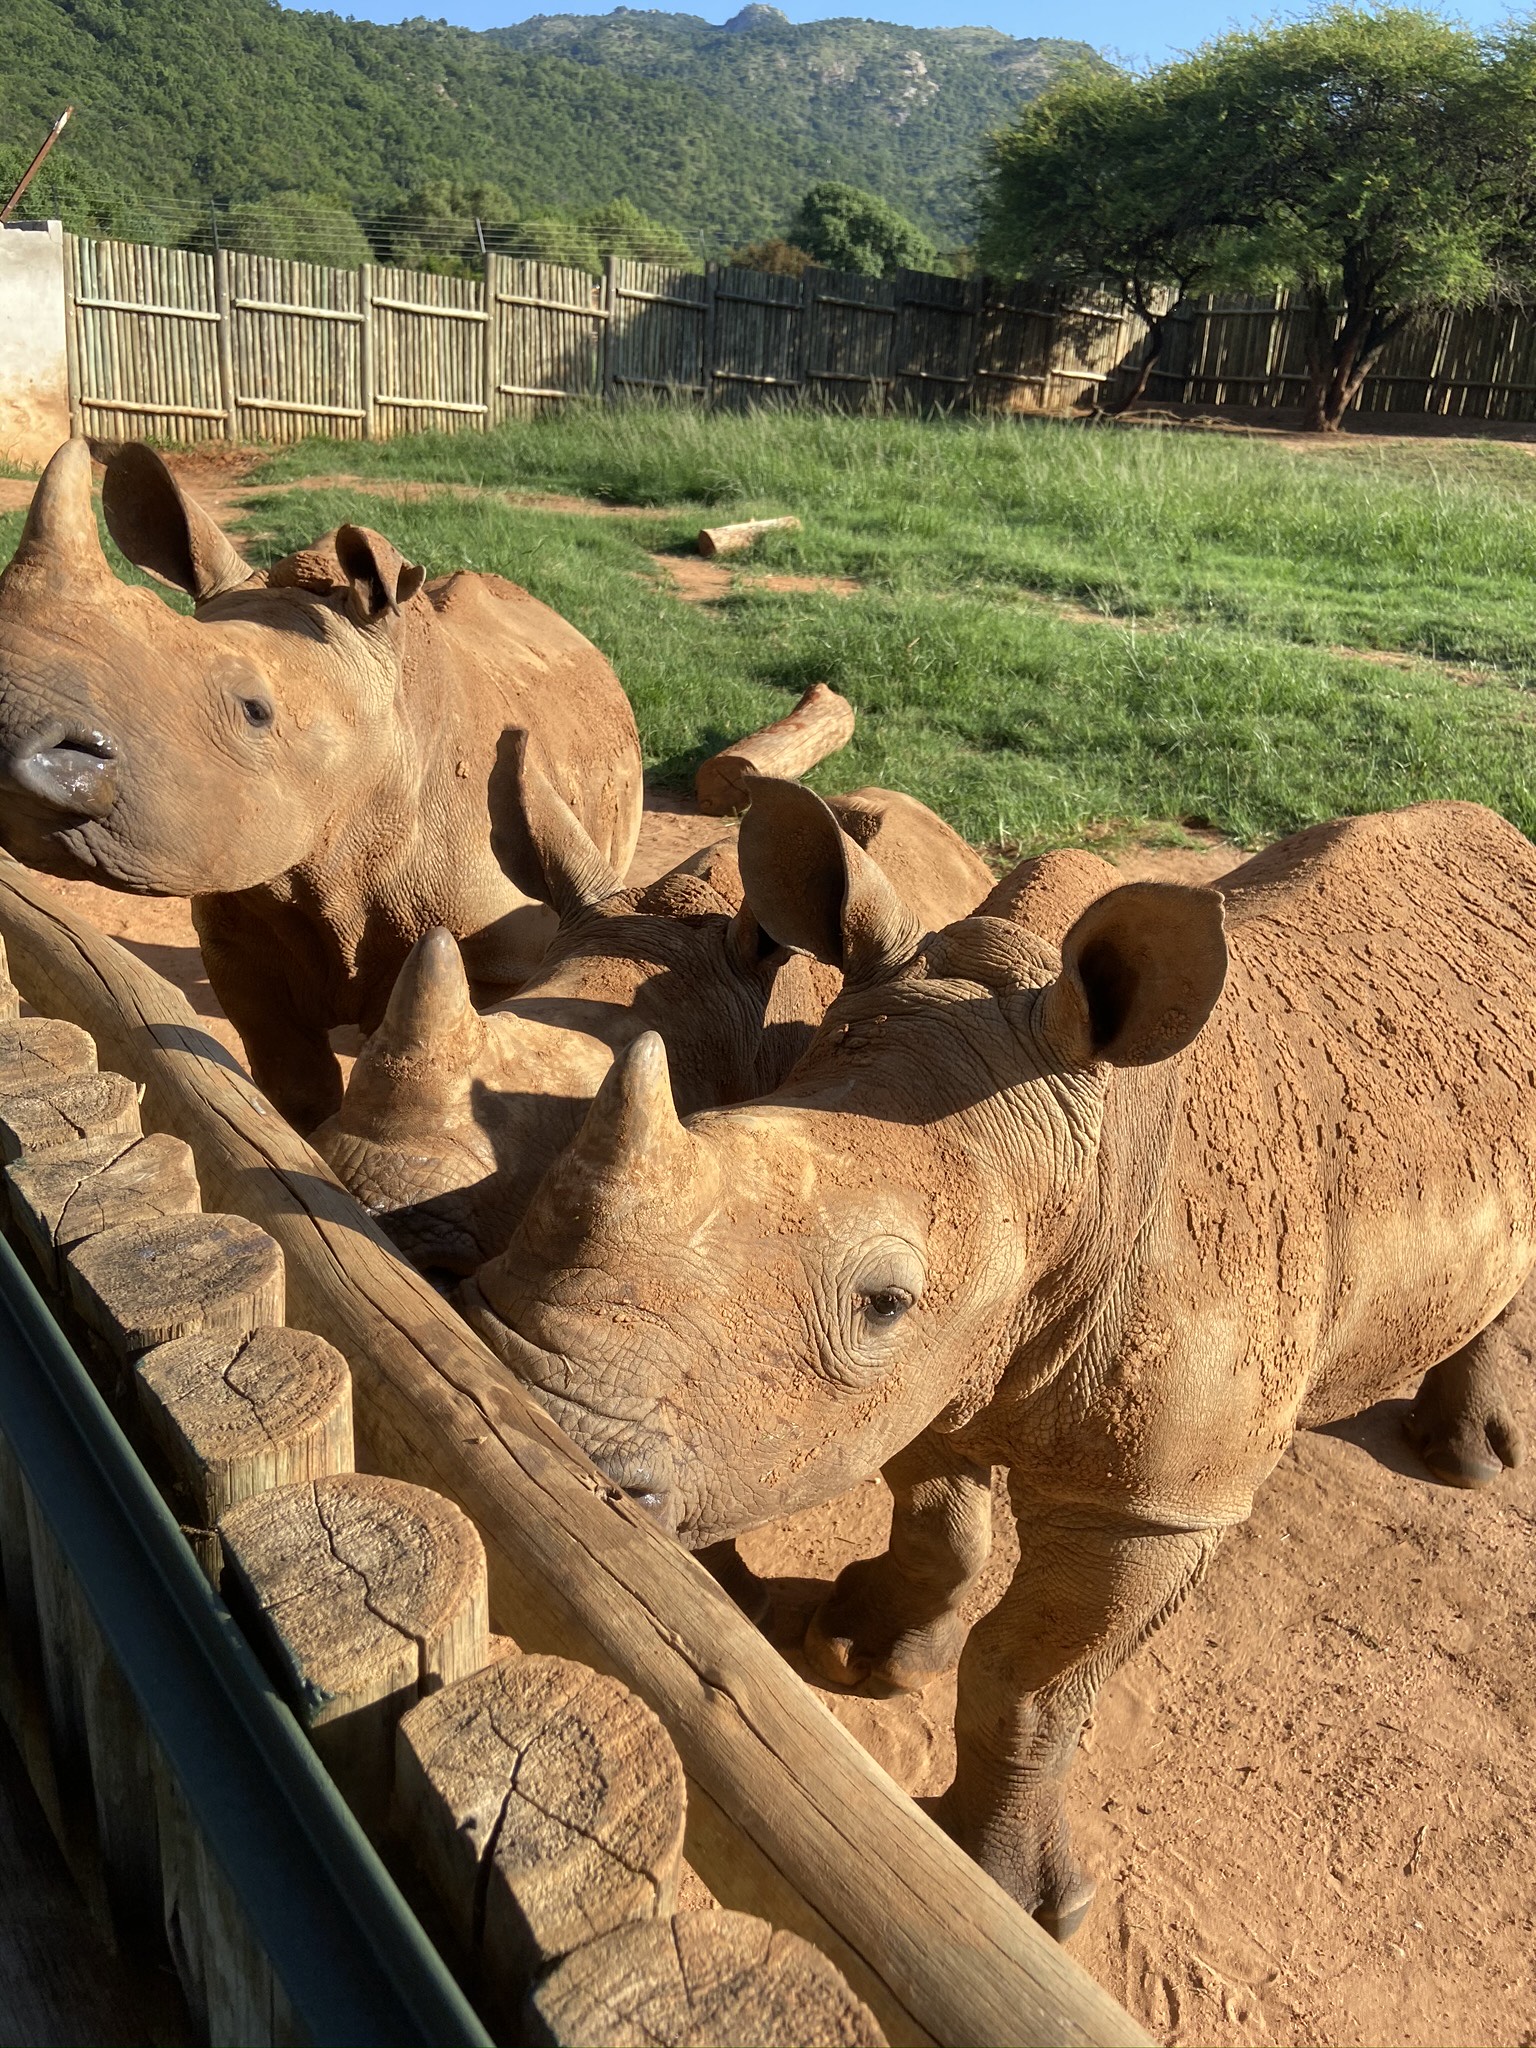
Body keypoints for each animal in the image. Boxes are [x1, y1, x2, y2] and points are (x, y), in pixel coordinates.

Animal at [460, 778, 1531, 1933]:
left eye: (882, 1301)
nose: (524, 1395)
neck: (1081, 1163)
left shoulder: (1157, 1501)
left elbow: (1027, 1681)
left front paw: (1024, 1899)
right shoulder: (941, 1367)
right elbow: (942, 1529)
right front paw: (857, 1651)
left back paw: (1467, 1463)